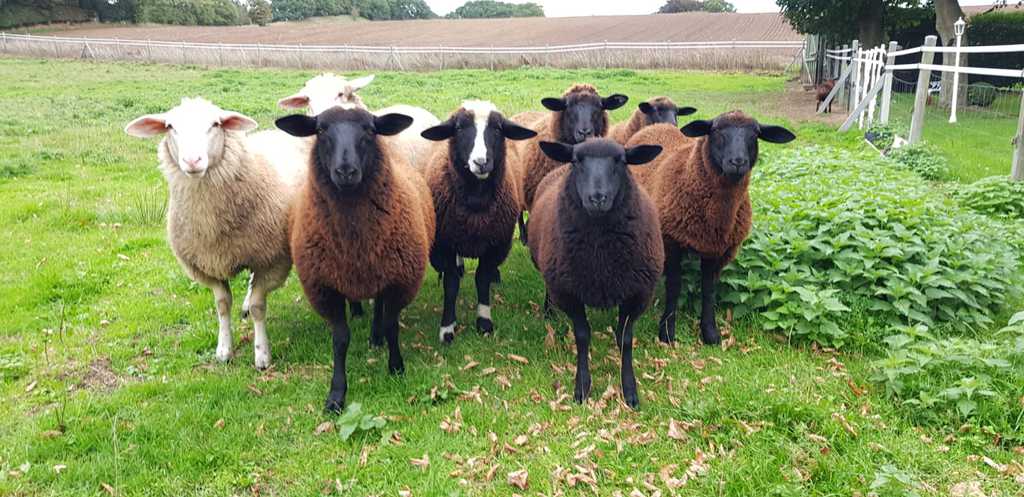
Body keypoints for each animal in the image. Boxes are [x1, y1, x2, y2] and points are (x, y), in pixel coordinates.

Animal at [124, 97, 297, 370]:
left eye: (215, 124)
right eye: (170, 126)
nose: (193, 160)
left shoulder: (272, 261)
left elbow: (259, 307)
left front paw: (261, 355)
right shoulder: (206, 265)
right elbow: (222, 306)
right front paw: (224, 349)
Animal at [276, 106, 434, 412]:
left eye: (370, 130)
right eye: (321, 130)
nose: (346, 171)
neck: (355, 242)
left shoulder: (399, 281)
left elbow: (391, 325)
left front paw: (396, 367)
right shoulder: (325, 287)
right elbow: (340, 339)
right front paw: (336, 394)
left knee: (379, 306)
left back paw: (375, 337)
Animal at [419, 100, 537, 343]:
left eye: (498, 129)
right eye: (459, 128)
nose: (481, 162)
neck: (475, 201)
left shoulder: (496, 244)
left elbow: (482, 279)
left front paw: (484, 322)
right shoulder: (445, 244)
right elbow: (451, 285)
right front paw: (447, 327)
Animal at [527, 138, 664, 408]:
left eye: (621, 161)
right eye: (576, 161)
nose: (597, 197)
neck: (600, 258)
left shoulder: (638, 293)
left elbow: (625, 338)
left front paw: (629, 390)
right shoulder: (568, 292)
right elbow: (582, 336)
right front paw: (582, 388)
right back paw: (549, 311)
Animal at [626, 111, 795, 346]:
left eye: (756, 134)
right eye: (715, 130)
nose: (737, 162)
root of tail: (656, 126)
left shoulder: (716, 249)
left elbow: (708, 290)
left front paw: (710, 332)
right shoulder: (672, 242)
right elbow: (674, 287)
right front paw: (667, 332)